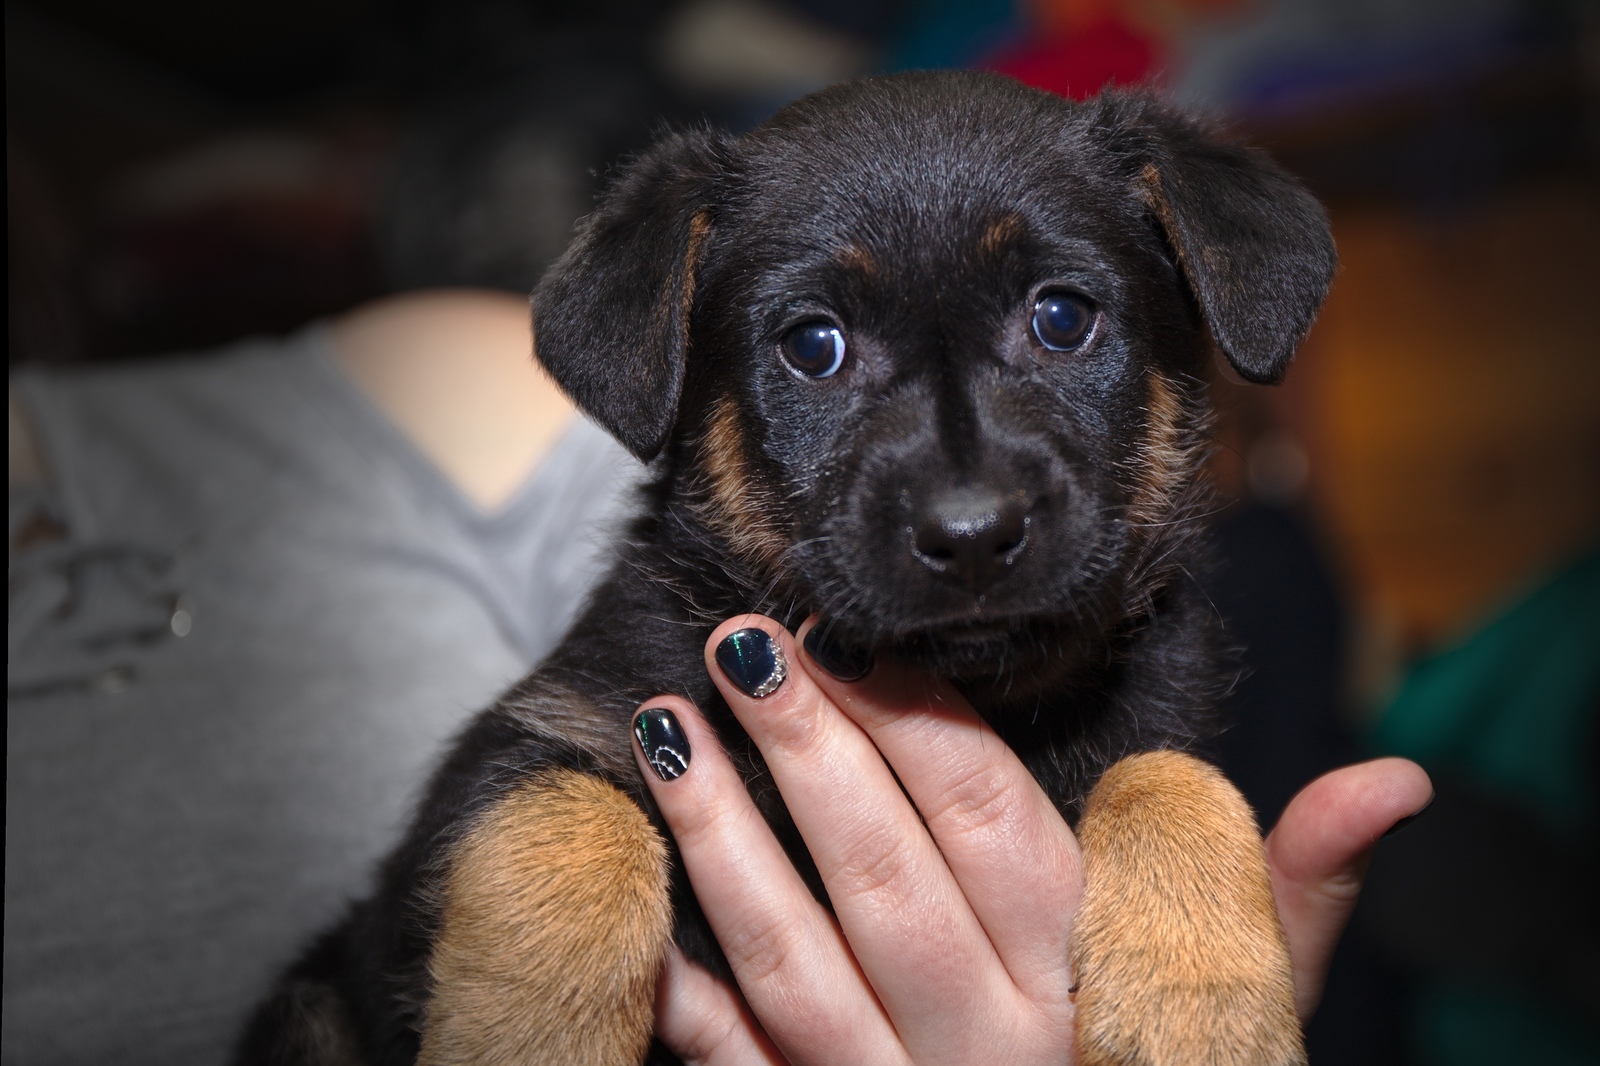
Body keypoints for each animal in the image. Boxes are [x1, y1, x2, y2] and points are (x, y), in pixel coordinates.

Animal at [240, 70, 1337, 1056]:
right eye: (814, 345)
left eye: (1063, 318)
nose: (971, 532)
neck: (978, 698)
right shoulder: (546, 731)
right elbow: (564, 826)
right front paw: (531, 1036)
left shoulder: (1157, 711)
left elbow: (1176, 780)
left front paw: (1199, 1009)